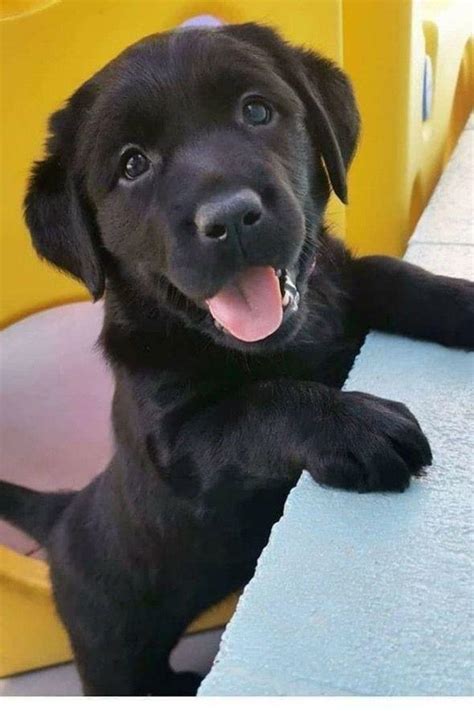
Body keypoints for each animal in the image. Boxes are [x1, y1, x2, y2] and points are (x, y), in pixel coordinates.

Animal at [1, 23, 473, 696]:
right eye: (132, 165)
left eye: (256, 111)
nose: (230, 217)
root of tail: (66, 513)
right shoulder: (178, 445)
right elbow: (259, 403)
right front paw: (356, 424)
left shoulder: (344, 283)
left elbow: (400, 276)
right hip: (114, 645)